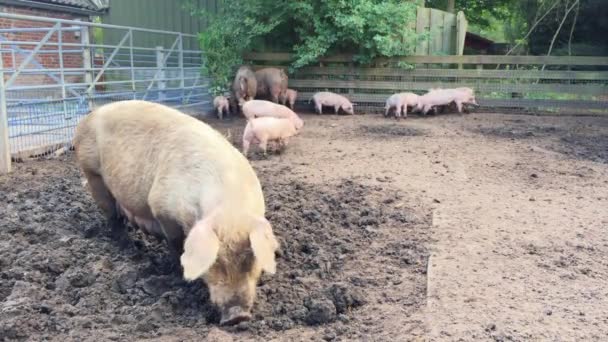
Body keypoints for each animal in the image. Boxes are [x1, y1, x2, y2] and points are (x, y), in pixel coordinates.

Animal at [73, 99, 280, 326]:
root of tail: (88, 117)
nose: (238, 316)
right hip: (92, 172)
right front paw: (180, 275)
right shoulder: (161, 208)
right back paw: (129, 248)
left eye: (250, 259)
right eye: (215, 262)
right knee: (112, 216)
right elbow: (176, 243)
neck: (229, 210)